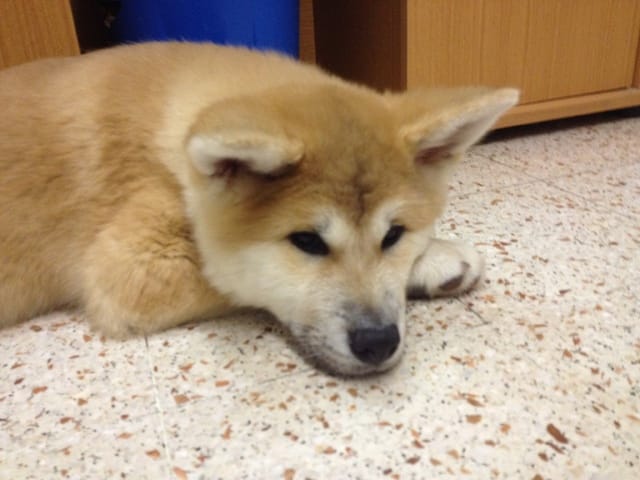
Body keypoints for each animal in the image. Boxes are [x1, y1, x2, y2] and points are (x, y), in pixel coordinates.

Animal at [0, 42, 517, 375]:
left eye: (393, 235)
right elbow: (235, 281)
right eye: (306, 242)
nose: (378, 343)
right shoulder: (129, 272)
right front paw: (436, 260)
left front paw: (429, 256)